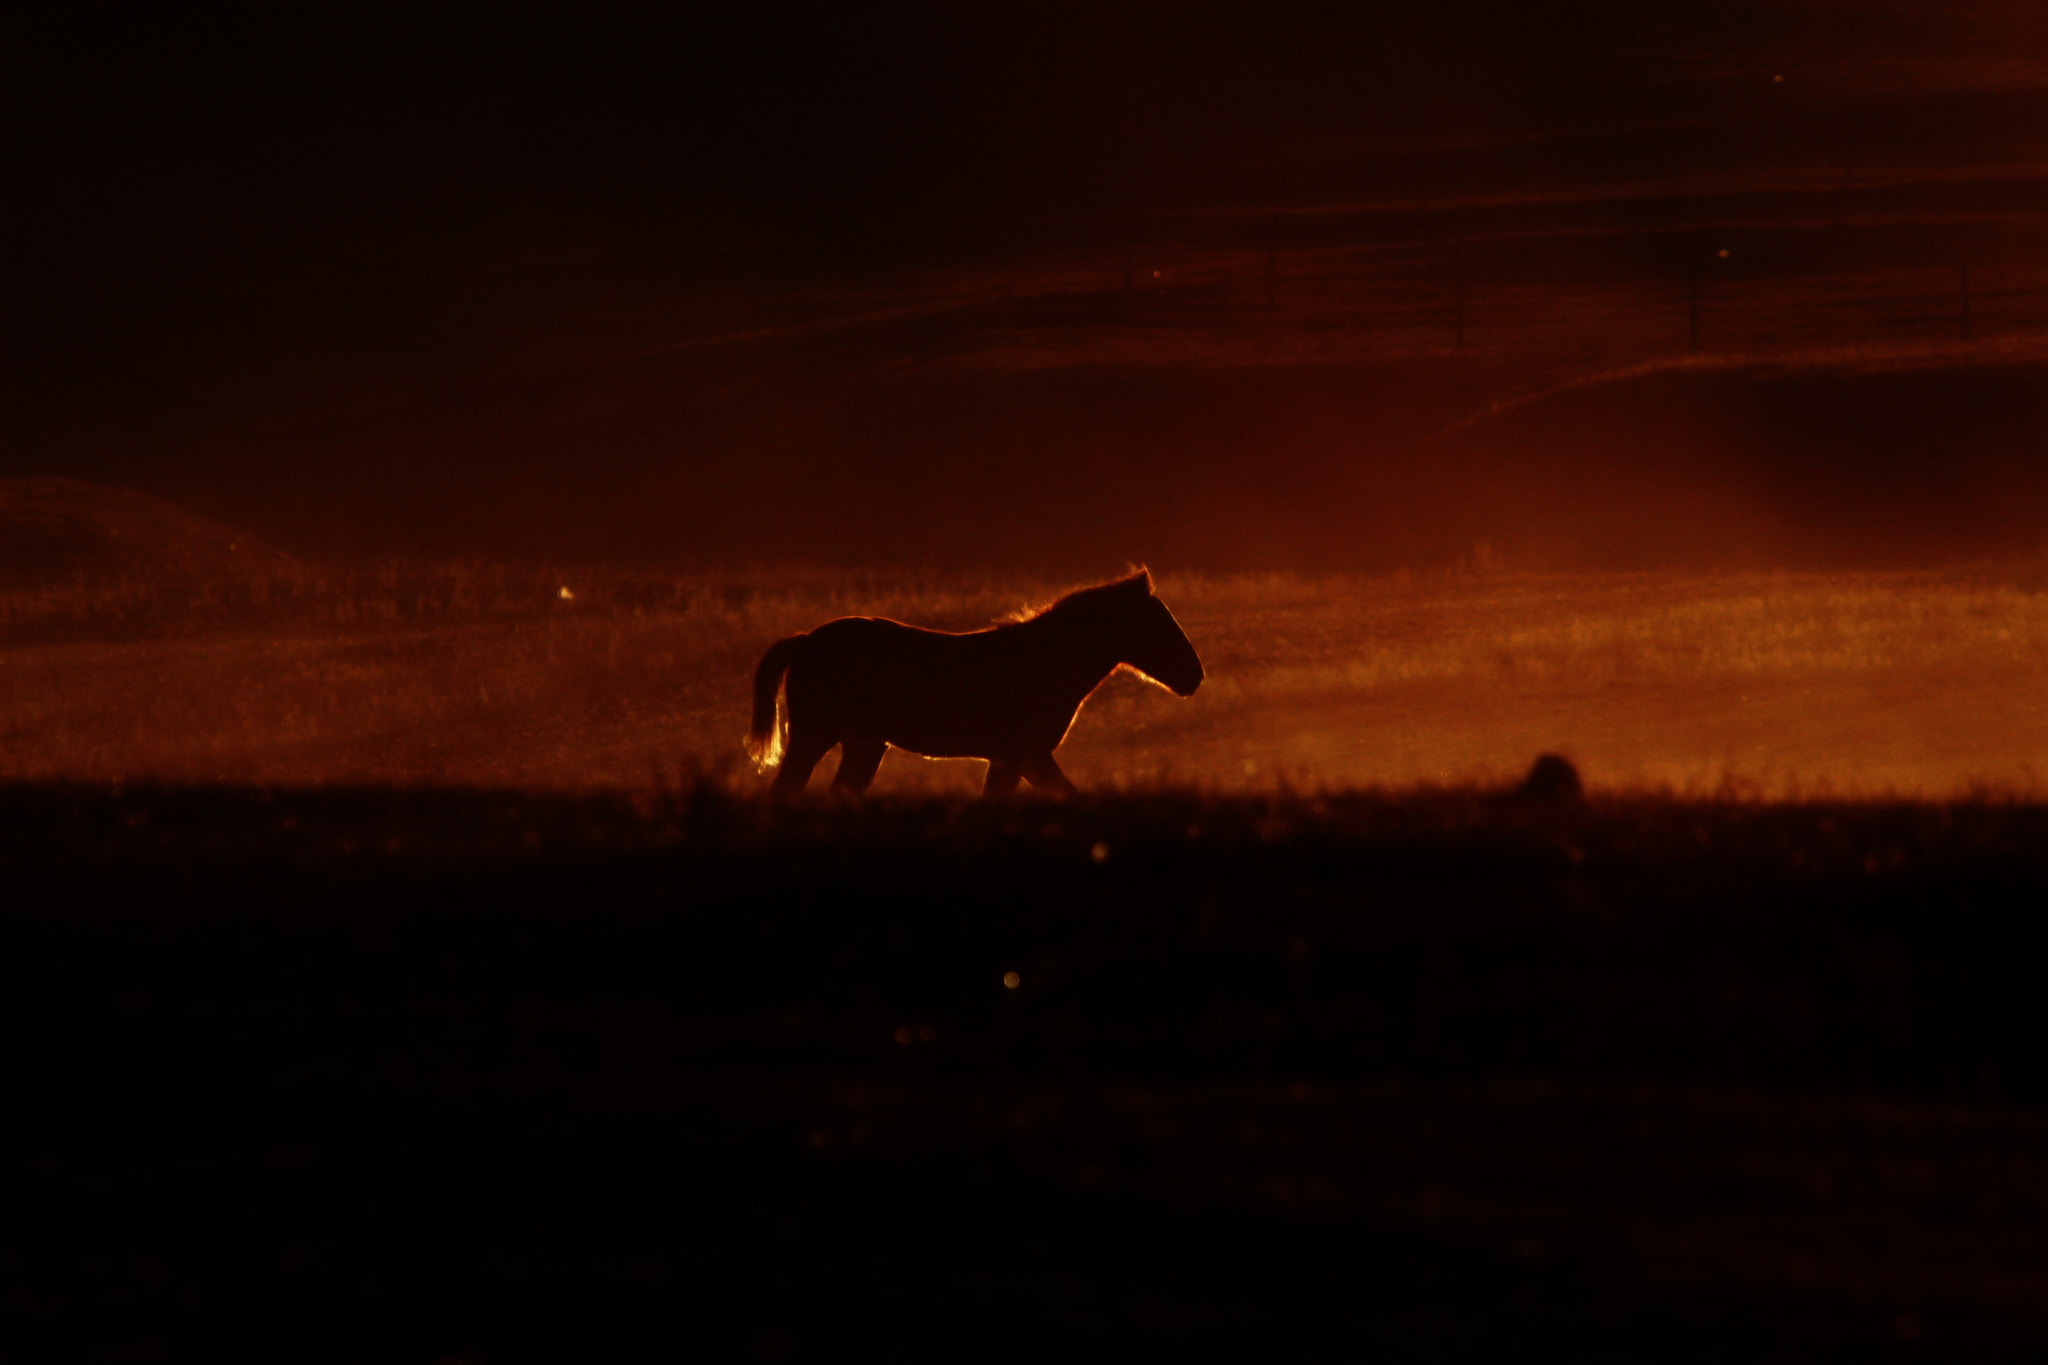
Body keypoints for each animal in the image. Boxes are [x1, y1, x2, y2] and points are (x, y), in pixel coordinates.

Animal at [749, 568, 1196, 802]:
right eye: (1157, 623)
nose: (1196, 673)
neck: (1043, 660)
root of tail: (807, 639)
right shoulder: (1025, 757)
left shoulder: (1013, 760)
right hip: (814, 737)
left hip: (864, 745)